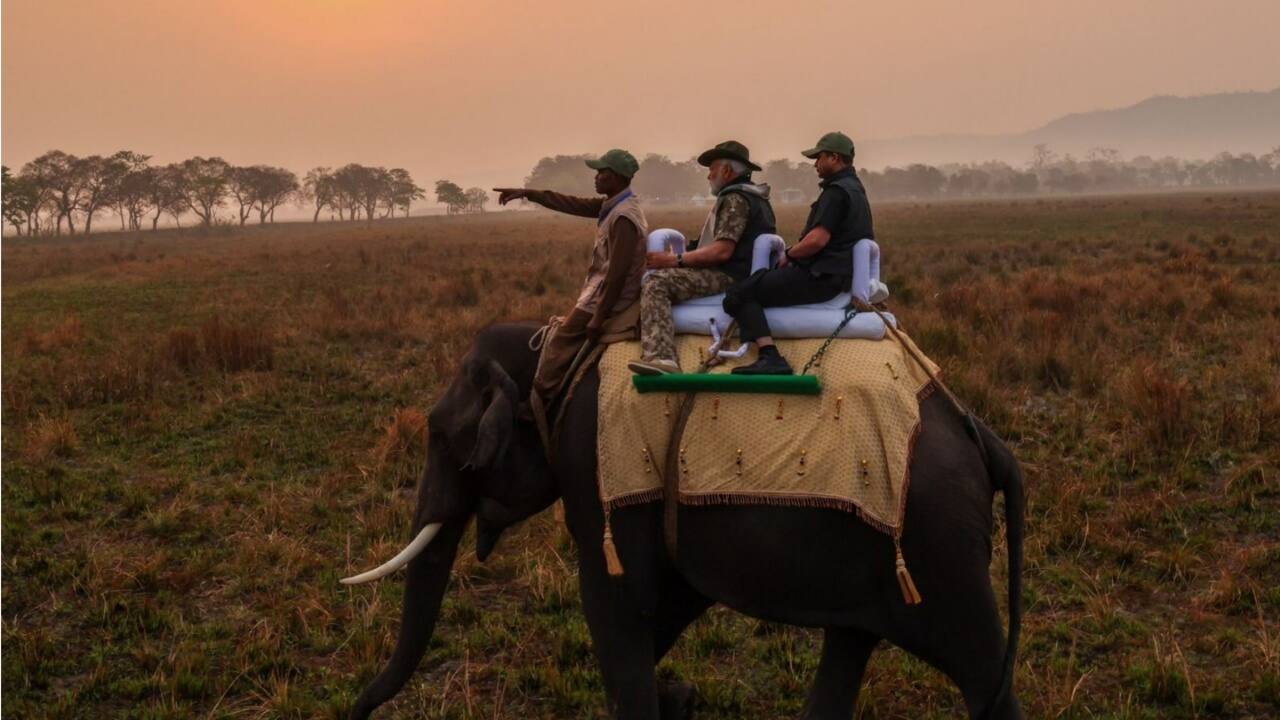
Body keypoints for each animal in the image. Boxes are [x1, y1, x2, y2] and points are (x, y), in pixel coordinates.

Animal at [342, 323, 1025, 720]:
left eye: (440, 435)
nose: (356, 711)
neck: (552, 352)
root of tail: (983, 437)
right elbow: (666, 602)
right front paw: (680, 699)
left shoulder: (597, 470)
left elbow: (619, 602)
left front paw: (664, 700)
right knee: (851, 642)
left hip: (939, 545)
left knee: (982, 671)